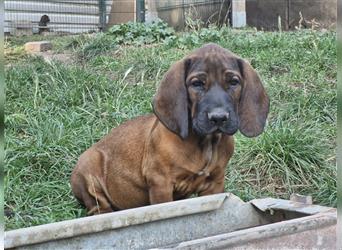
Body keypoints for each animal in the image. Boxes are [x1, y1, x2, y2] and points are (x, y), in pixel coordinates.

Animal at [71, 43, 270, 215]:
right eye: (197, 84)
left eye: (234, 82)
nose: (219, 117)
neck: (204, 142)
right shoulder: (160, 182)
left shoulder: (215, 183)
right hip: (88, 168)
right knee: (98, 206)